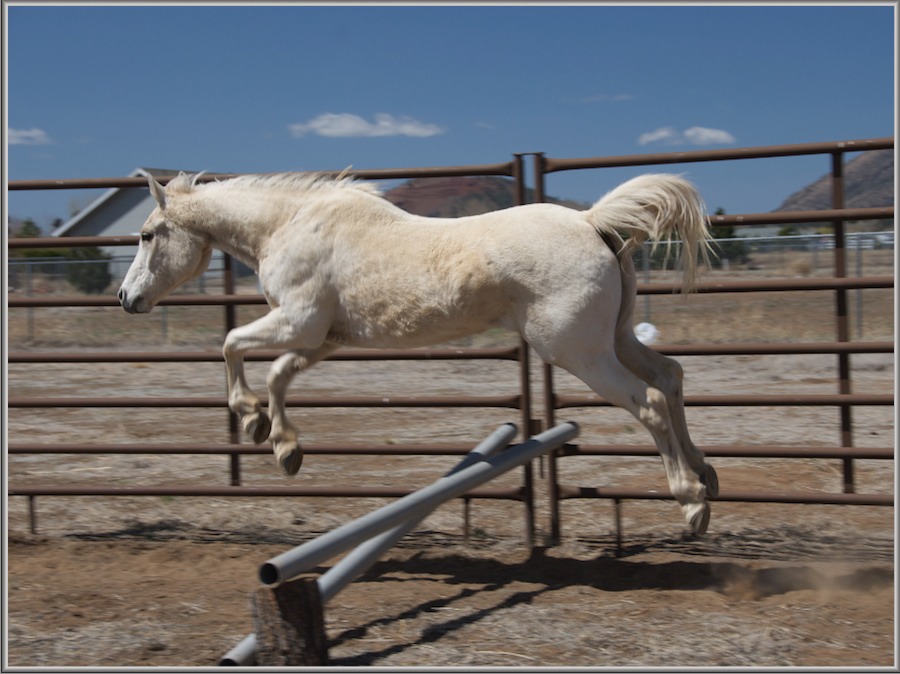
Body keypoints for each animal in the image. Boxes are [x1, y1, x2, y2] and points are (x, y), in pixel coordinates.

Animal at [119, 171, 720, 532]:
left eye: (146, 235)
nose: (127, 299)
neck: (287, 226)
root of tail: (590, 222)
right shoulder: (321, 338)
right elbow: (280, 377)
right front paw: (285, 448)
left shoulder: (296, 321)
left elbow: (232, 347)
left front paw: (249, 421)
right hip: (613, 339)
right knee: (670, 377)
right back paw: (707, 474)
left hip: (579, 352)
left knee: (649, 401)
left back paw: (691, 502)